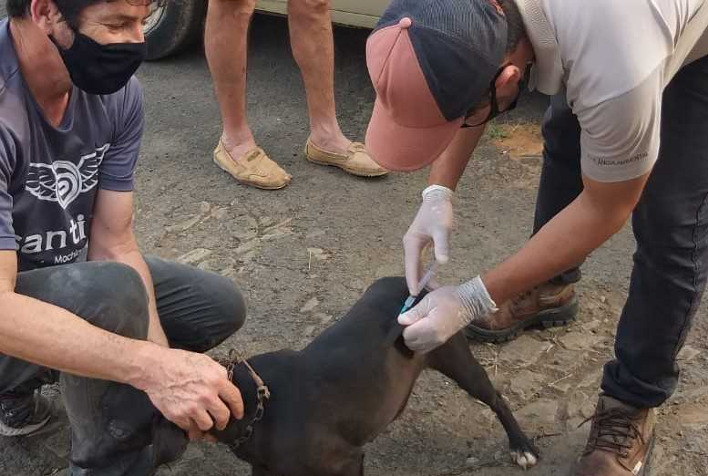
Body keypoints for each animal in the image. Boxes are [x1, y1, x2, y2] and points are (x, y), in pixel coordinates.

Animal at [213, 278, 540, 474]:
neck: (255, 403)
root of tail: (411, 283)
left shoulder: (347, 460)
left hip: (459, 361)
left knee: (496, 398)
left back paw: (521, 446)